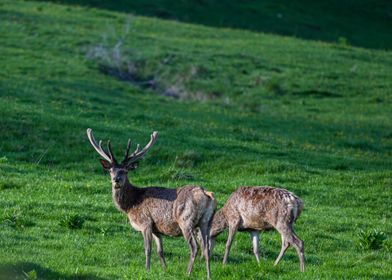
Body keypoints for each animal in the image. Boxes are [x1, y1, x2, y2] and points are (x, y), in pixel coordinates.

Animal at [86, 129, 216, 278]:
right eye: (110, 171)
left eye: (125, 171)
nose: (116, 180)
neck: (131, 204)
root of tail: (207, 194)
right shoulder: (156, 228)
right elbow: (160, 250)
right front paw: (165, 270)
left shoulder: (145, 222)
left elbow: (147, 249)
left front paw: (147, 270)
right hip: (206, 222)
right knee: (206, 248)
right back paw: (209, 275)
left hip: (186, 221)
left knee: (195, 247)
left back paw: (187, 273)